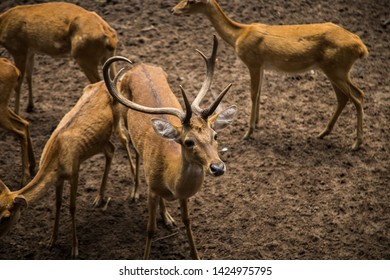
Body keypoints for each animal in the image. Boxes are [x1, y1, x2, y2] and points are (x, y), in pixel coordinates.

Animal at [0, 79, 136, 258]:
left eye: (6, 217)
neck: (55, 158)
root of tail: (112, 81)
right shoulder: (58, 179)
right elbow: (57, 204)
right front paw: (51, 242)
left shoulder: (74, 171)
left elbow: (72, 207)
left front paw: (74, 249)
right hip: (100, 141)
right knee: (111, 150)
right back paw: (99, 198)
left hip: (117, 119)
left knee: (125, 139)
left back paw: (134, 191)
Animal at [103, 35, 238, 260]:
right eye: (188, 142)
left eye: (215, 135)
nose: (218, 167)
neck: (170, 181)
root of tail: (138, 65)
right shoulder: (152, 189)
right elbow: (150, 229)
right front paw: (145, 256)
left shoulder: (183, 196)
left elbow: (187, 221)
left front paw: (196, 255)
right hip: (123, 115)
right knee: (134, 150)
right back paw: (134, 192)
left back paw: (167, 217)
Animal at [173, 0, 368, 151]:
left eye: (191, 1)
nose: (174, 9)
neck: (239, 35)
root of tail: (361, 47)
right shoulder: (263, 66)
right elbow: (259, 92)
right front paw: (257, 123)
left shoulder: (253, 62)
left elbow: (253, 94)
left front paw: (248, 132)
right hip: (336, 71)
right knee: (345, 97)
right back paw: (322, 133)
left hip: (336, 70)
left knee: (357, 96)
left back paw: (356, 144)